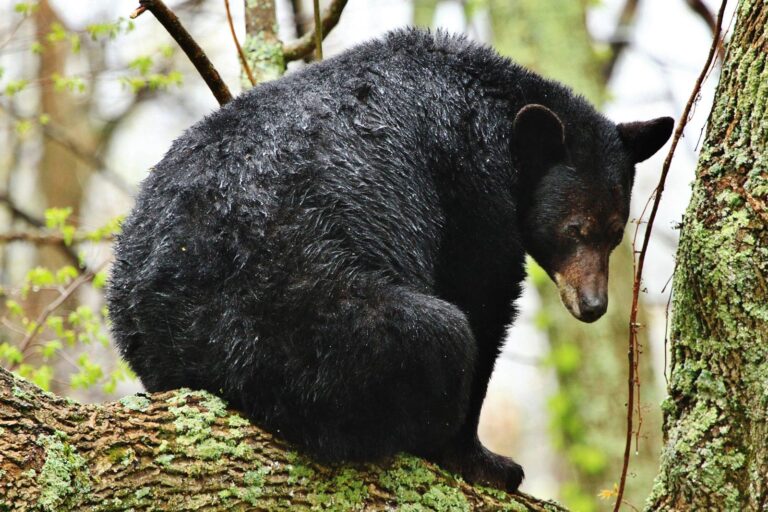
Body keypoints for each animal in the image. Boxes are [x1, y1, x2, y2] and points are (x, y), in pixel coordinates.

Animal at [107, 28, 673, 492]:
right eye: (574, 230)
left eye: (615, 233)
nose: (593, 305)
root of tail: (170, 332)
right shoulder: (468, 180)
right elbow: (481, 294)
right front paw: (483, 459)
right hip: (304, 317)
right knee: (437, 335)